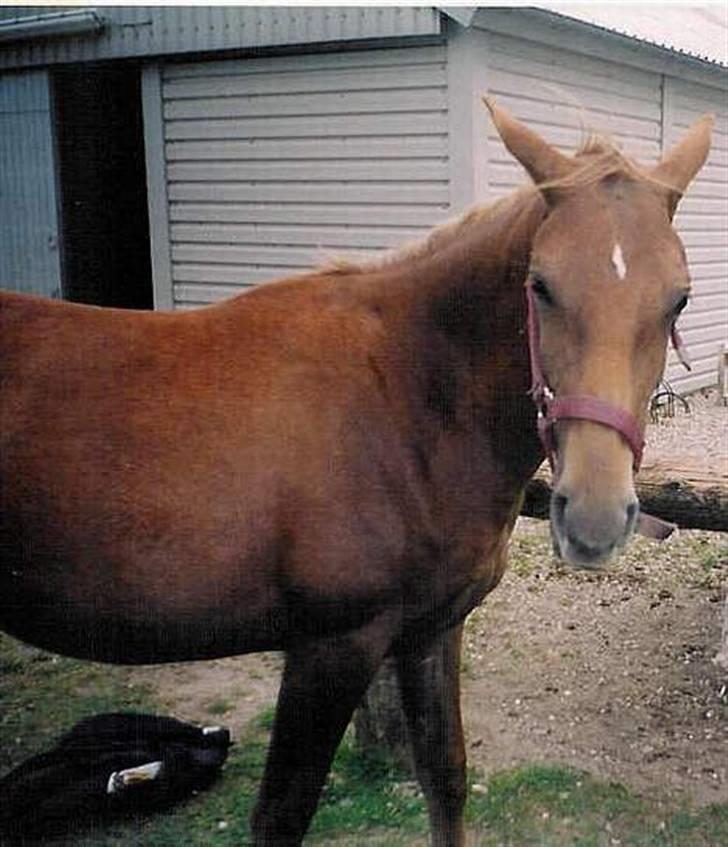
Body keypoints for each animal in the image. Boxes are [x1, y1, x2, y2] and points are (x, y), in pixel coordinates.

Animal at [0, 102, 712, 844]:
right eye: (539, 285)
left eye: (679, 300)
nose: (595, 519)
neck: (402, 396)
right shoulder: (331, 648)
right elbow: (282, 813)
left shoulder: (431, 631)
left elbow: (445, 778)